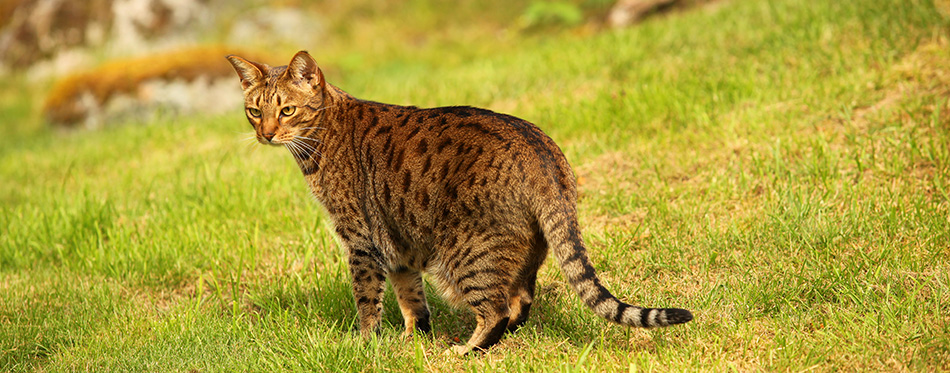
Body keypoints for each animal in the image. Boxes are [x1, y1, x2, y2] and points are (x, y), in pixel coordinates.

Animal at [227, 50, 696, 354]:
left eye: (287, 111)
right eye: (255, 111)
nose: (265, 133)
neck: (322, 133)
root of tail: (543, 153)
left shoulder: (361, 240)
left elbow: (367, 302)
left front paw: (366, 345)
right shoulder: (398, 241)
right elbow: (411, 301)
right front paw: (412, 341)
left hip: (463, 255)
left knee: (497, 308)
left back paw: (468, 351)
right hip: (522, 250)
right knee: (521, 299)